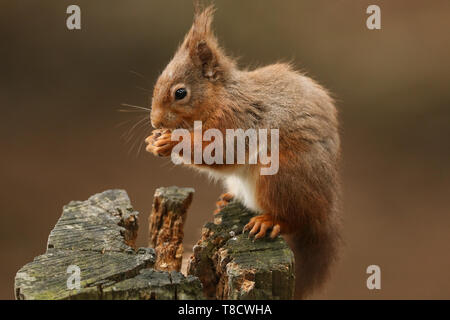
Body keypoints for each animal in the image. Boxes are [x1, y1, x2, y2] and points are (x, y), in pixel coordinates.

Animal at [145, 4, 342, 300]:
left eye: (180, 93)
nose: (156, 123)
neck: (220, 98)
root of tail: (324, 210)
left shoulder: (238, 121)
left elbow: (222, 152)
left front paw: (171, 142)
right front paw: (153, 141)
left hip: (280, 176)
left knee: (296, 219)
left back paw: (270, 221)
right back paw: (228, 198)